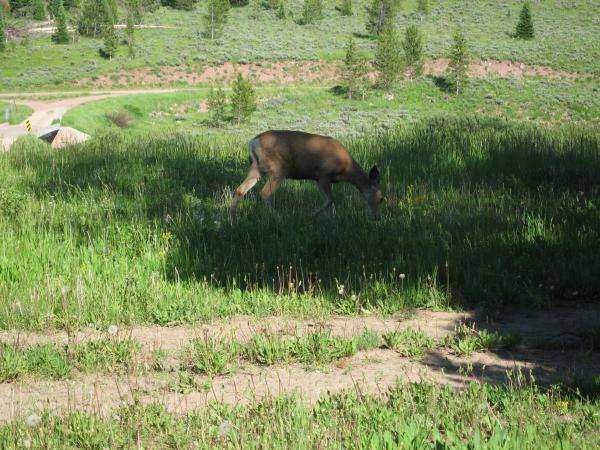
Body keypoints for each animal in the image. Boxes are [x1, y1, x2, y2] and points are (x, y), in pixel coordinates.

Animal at [230, 129, 384, 221]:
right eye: (382, 198)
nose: (377, 217)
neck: (346, 169)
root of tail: (253, 142)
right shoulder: (323, 174)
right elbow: (330, 200)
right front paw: (311, 216)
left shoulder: (318, 178)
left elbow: (330, 201)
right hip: (277, 169)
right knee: (265, 193)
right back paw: (277, 217)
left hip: (256, 168)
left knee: (240, 190)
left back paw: (232, 218)